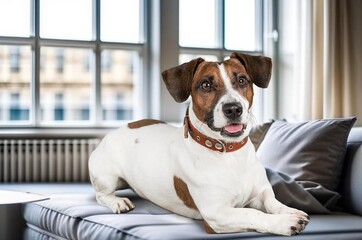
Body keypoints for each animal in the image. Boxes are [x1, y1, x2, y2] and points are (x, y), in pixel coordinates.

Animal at [89, 53, 310, 236]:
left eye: (242, 80)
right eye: (205, 85)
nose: (233, 109)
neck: (229, 154)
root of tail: (118, 129)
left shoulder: (260, 195)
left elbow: (273, 203)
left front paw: (291, 212)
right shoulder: (217, 215)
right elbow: (252, 214)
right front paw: (283, 222)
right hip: (107, 177)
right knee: (101, 195)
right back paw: (118, 202)